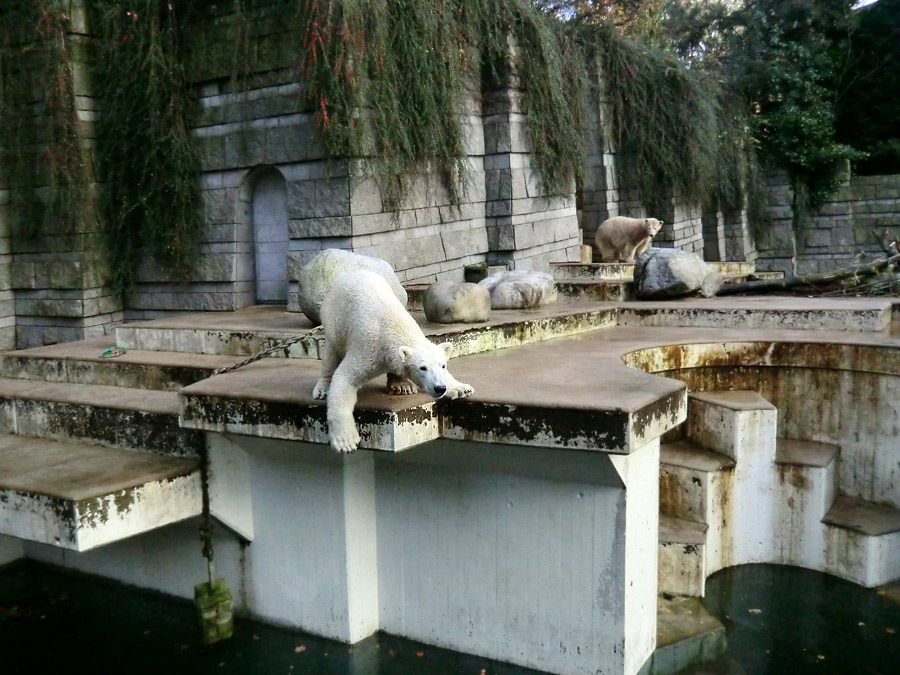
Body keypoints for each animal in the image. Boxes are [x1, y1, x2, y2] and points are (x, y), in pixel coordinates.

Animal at [312, 270, 474, 454]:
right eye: (422, 368)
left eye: (443, 365)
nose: (440, 388)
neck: (394, 327)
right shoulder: (368, 348)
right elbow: (345, 379)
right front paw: (345, 442)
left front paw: (461, 389)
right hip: (334, 316)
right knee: (332, 352)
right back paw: (323, 389)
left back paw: (402, 386)